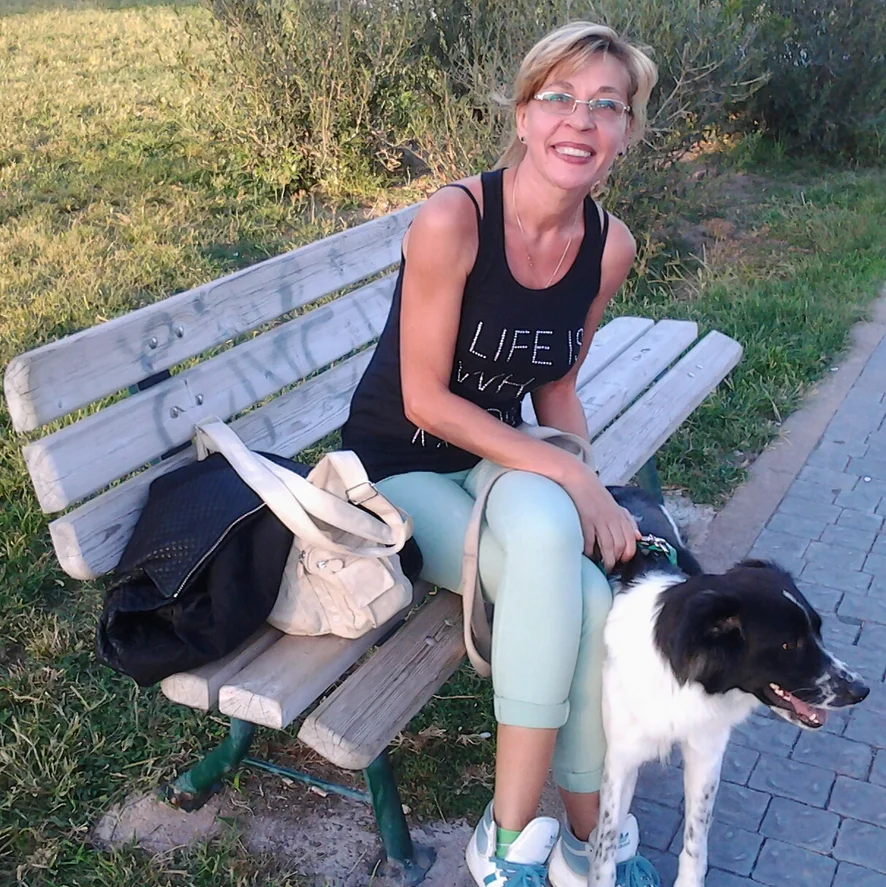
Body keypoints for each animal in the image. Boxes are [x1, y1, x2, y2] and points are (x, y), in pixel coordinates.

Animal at [590, 486, 870, 887]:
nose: (861, 691)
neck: (685, 683)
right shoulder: (621, 757)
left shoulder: (706, 751)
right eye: (790, 645)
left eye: (818, 631)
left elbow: (695, 840)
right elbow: (606, 844)